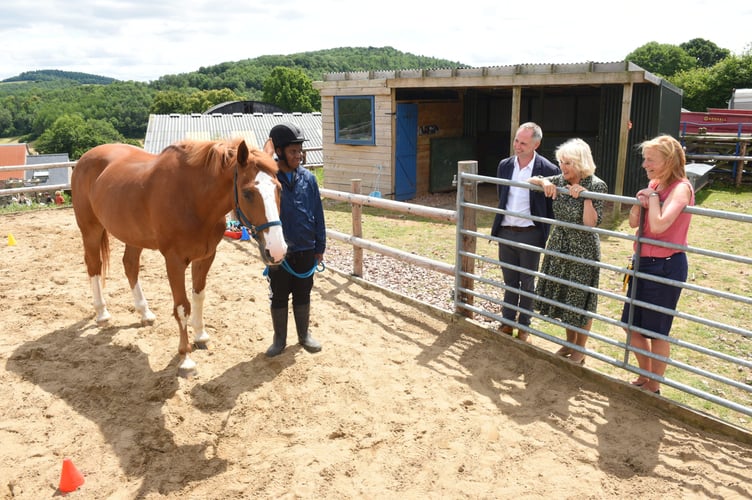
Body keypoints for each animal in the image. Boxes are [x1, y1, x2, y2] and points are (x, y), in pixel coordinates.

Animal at [72, 139, 286, 374]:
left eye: (279, 188)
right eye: (247, 193)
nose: (277, 250)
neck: (193, 198)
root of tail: (85, 158)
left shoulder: (205, 257)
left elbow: (198, 296)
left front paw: (201, 336)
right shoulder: (174, 261)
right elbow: (182, 306)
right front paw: (185, 358)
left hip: (133, 236)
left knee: (130, 265)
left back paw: (145, 313)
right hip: (90, 229)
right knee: (94, 265)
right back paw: (102, 314)